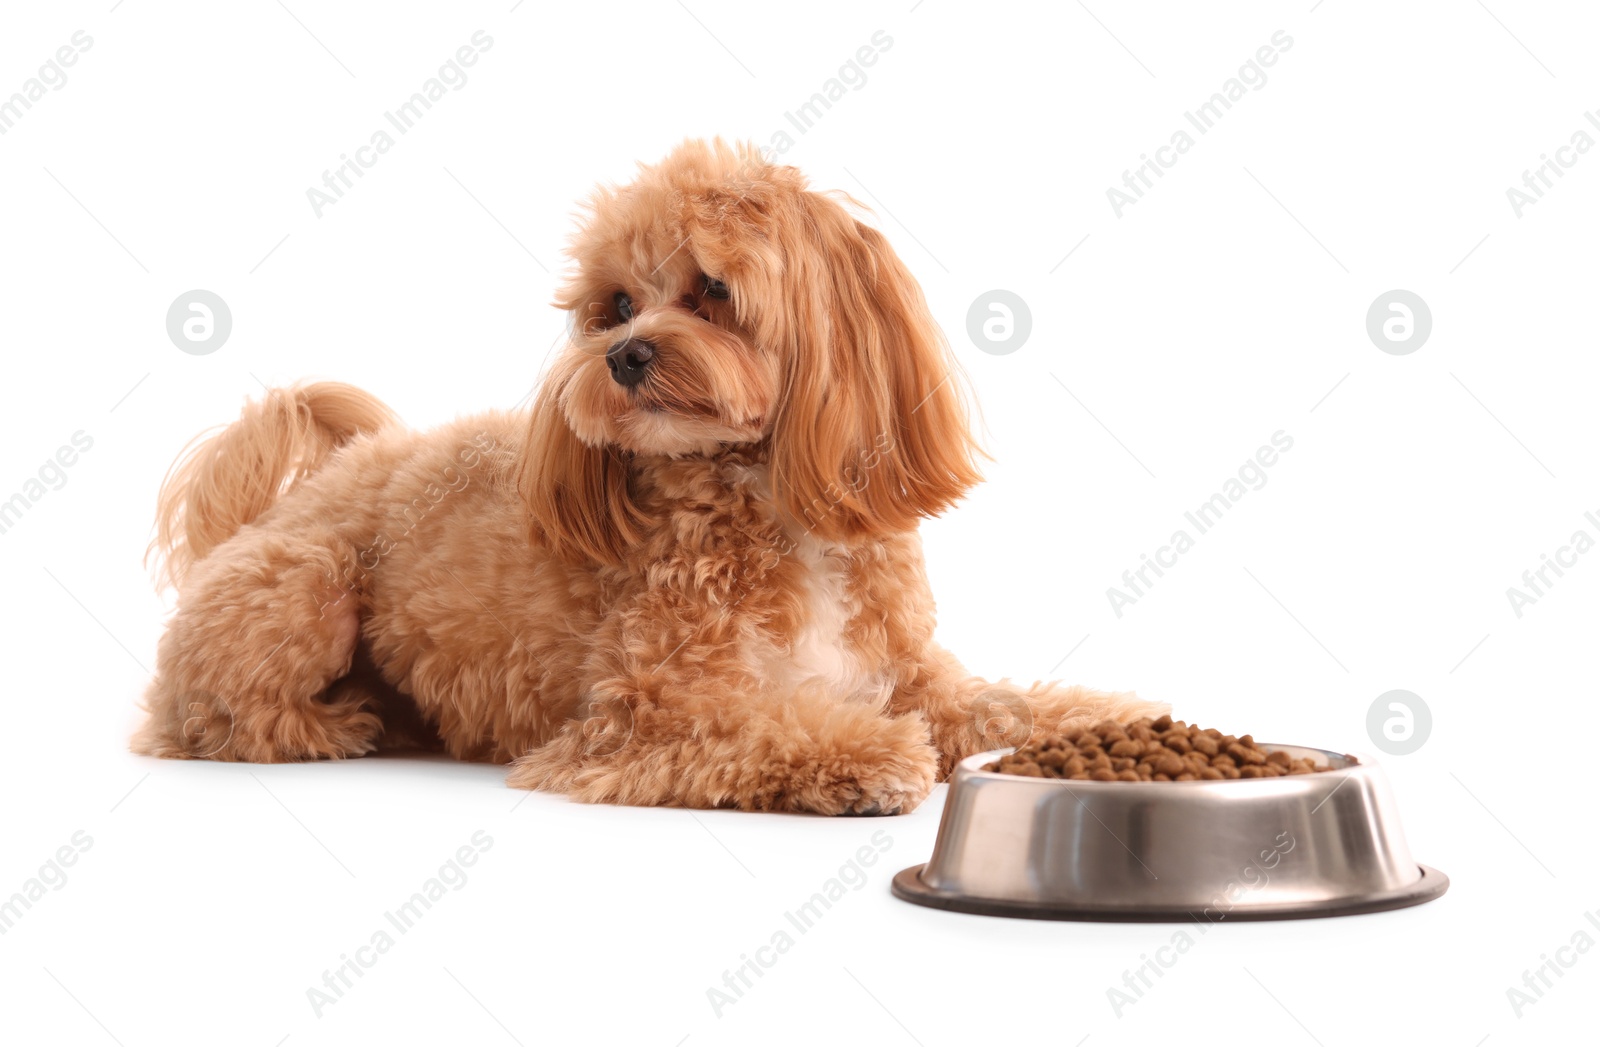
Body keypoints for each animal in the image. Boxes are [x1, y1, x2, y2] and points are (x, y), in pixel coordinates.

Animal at [134, 139, 1164, 816]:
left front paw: (1110, 719)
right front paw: (870, 759)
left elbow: (1005, 701)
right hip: (304, 586)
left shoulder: (913, 676)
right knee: (208, 719)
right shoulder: (646, 716)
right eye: (617, 304)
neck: (772, 507)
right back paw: (333, 727)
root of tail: (289, 499)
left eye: (712, 289)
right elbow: (765, 730)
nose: (625, 354)